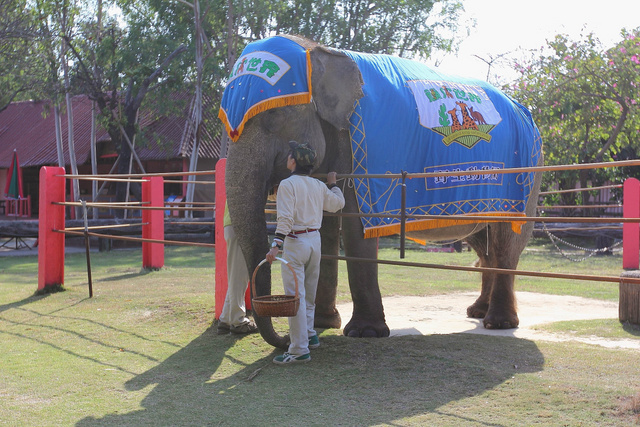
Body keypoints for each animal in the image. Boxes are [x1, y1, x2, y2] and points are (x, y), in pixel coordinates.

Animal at [220, 35, 540, 350]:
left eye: (273, 115)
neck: (318, 51)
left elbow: (355, 224)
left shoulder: (360, 149)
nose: (285, 338)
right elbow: (325, 225)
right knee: (482, 242)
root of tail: (526, 111)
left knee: (505, 241)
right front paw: (324, 323)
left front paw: (365, 332)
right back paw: (477, 312)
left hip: (526, 175)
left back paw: (498, 323)